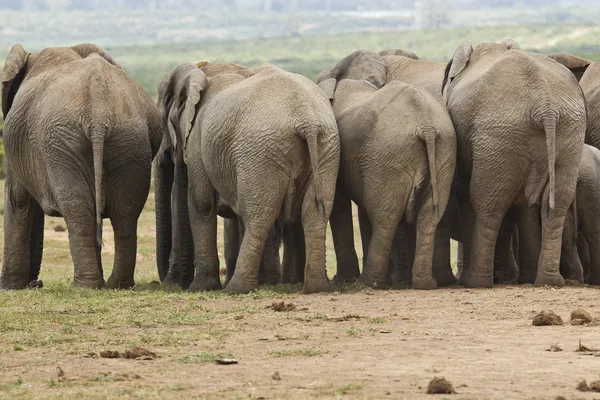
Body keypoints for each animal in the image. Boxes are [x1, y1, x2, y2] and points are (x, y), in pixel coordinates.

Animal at [0, 43, 162, 290]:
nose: (36, 283)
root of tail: (99, 107)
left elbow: (17, 199)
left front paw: (9, 287)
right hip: (130, 139)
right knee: (125, 213)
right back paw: (116, 284)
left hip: (61, 143)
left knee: (78, 210)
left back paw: (85, 285)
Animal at [157, 61, 340, 294]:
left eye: (163, 118)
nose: (169, 283)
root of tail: (306, 119)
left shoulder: (198, 139)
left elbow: (201, 203)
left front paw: (201, 288)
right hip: (327, 146)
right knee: (314, 213)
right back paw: (317, 287)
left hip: (261, 150)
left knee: (258, 216)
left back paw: (236, 288)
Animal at [318, 50, 454, 290]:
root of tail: (426, 125)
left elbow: (343, 206)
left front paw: (343, 280)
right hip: (440, 151)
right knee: (428, 216)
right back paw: (423, 283)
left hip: (388, 154)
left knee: (384, 217)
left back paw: (370, 283)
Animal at [442, 39, 588, 288]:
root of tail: (545, 106)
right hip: (568, 132)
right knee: (557, 203)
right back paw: (548, 280)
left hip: (498, 134)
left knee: (487, 205)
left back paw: (475, 282)